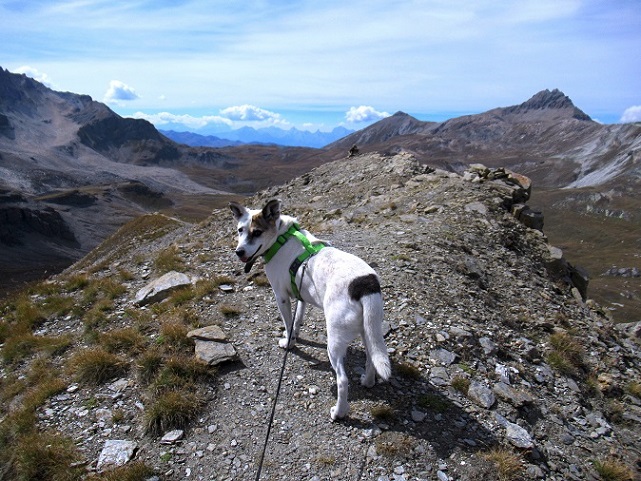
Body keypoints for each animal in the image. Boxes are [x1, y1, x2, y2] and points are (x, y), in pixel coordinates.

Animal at [229, 199, 391, 420]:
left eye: (257, 232)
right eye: (240, 230)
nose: (239, 252)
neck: (280, 238)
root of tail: (365, 284)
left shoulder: (281, 297)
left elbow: (288, 323)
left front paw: (288, 342)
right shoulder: (300, 297)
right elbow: (297, 320)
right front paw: (295, 335)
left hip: (335, 342)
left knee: (342, 380)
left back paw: (339, 412)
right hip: (368, 331)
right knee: (371, 359)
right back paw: (368, 381)